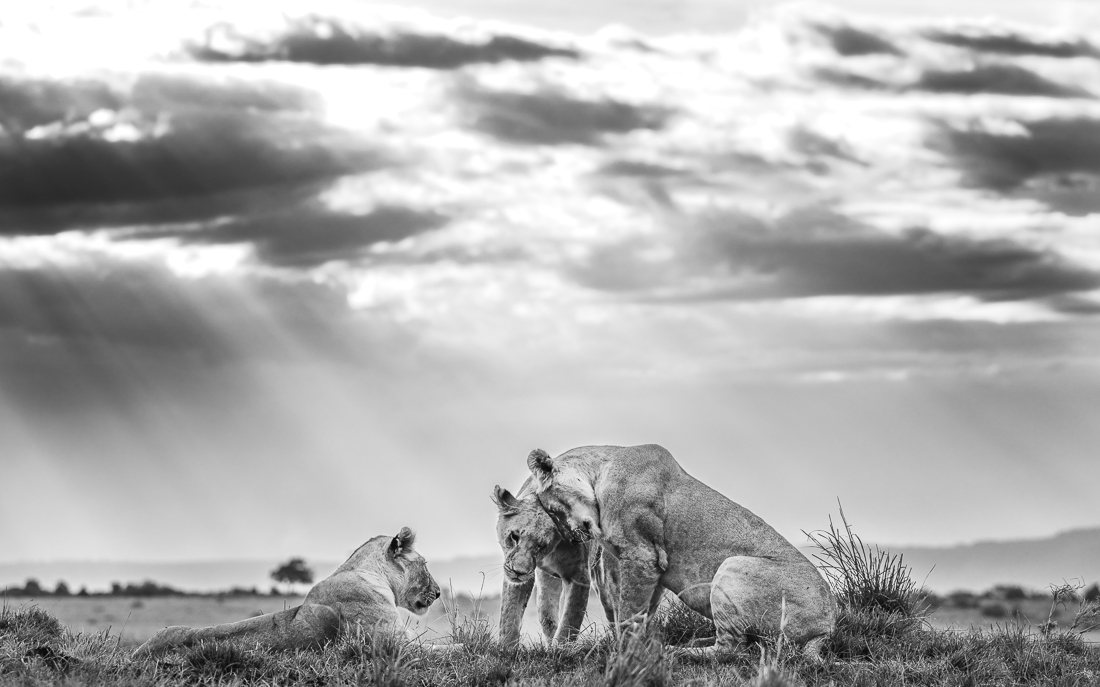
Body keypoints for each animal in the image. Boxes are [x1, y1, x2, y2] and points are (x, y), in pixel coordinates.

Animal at [493, 479, 613, 648]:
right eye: (514, 536)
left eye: (541, 545)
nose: (518, 572)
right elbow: (509, 615)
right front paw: (506, 649)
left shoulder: (578, 576)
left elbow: (570, 620)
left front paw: (561, 650)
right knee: (546, 613)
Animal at [527, 445, 837, 660]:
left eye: (552, 508)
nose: (570, 536)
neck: (600, 471)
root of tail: (827, 627)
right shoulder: (649, 567)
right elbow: (641, 612)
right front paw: (639, 645)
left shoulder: (642, 555)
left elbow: (628, 613)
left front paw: (626, 654)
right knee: (742, 643)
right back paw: (692, 642)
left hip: (731, 566)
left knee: (733, 649)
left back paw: (682, 651)